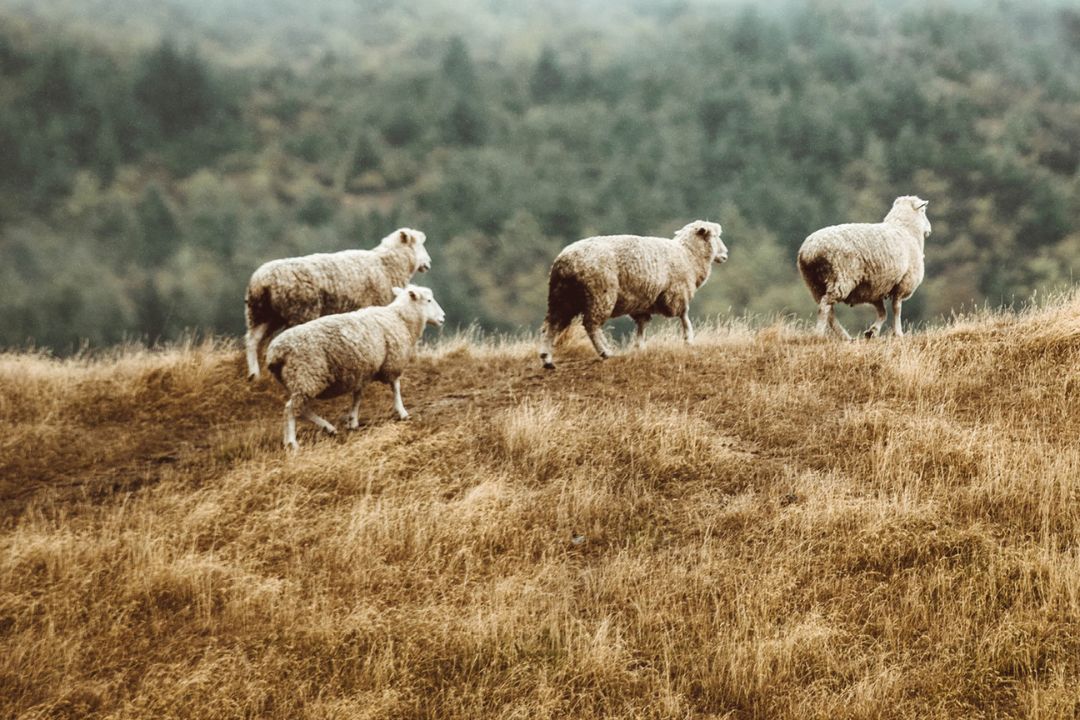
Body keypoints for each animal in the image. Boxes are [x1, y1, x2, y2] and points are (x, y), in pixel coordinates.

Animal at [245, 227, 429, 379]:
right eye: (419, 245)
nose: (428, 263)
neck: (387, 264)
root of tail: (261, 281)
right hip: (299, 311)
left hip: (261, 313)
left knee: (253, 340)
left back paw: (255, 374)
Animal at [263, 282, 444, 446]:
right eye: (429, 300)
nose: (443, 318)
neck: (400, 318)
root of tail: (276, 352)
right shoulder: (392, 361)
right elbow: (396, 387)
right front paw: (402, 412)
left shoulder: (364, 370)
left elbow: (358, 396)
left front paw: (353, 421)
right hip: (305, 376)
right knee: (290, 409)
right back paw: (292, 443)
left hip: (298, 381)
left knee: (302, 409)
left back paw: (329, 429)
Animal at [537, 220, 730, 369]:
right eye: (714, 235)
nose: (725, 254)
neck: (688, 255)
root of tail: (565, 261)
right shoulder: (677, 293)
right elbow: (684, 316)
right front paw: (688, 339)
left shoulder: (643, 303)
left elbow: (642, 325)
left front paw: (639, 347)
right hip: (600, 294)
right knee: (591, 325)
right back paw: (605, 352)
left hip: (561, 297)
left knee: (551, 324)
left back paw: (547, 358)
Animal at [799, 195, 933, 338]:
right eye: (923, 211)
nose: (929, 229)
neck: (906, 230)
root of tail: (810, 250)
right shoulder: (903, 282)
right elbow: (897, 309)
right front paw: (898, 333)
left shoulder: (875, 289)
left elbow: (883, 312)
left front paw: (872, 332)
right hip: (841, 278)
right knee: (825, 306)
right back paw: (819, 334)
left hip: (814, 283)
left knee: (828, 311)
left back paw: (845, 337)